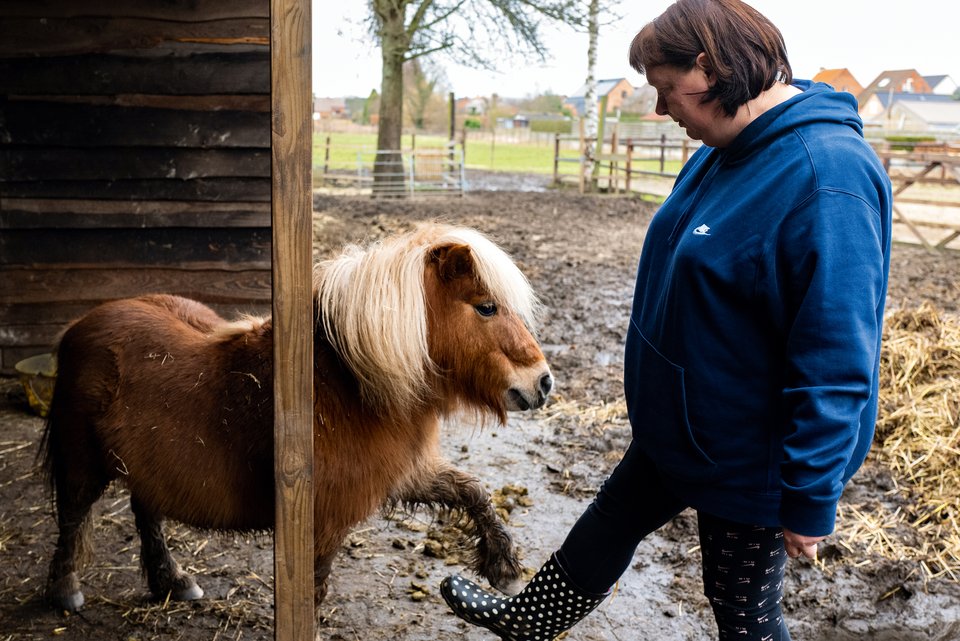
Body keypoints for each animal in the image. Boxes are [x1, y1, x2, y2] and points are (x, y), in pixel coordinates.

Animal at [41, 224, 552, 616]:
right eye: (486, 306)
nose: (543, 382)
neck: (348, 383)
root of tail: (80, 325)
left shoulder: (400, 475)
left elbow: (473, 492)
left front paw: (504, 569)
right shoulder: (323, 521)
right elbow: (315, 587)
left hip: (142, 464)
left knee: (145, 511)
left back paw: (173, 581)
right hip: (82, 464)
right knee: (72, 518)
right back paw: (66, 591)